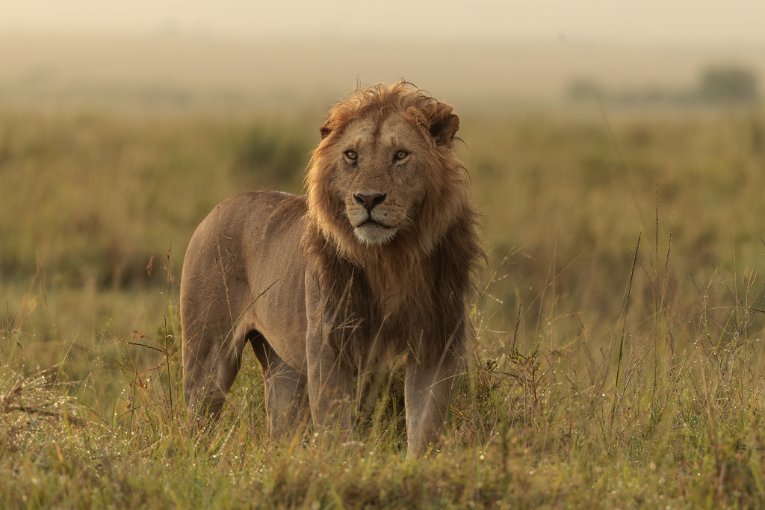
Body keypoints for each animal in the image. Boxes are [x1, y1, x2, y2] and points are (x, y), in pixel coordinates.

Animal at [180, 81, 482, 456]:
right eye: (352, 156)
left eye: (400, 155)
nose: (368, 199)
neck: (391, 259)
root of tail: (217, 208)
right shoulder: (328, 345)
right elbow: (336, 428)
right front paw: (340, 464)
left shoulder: (437, 344)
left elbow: (425, 427)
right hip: (208, 354)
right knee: (197, 420)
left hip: (284, 369)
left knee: (281, 426)